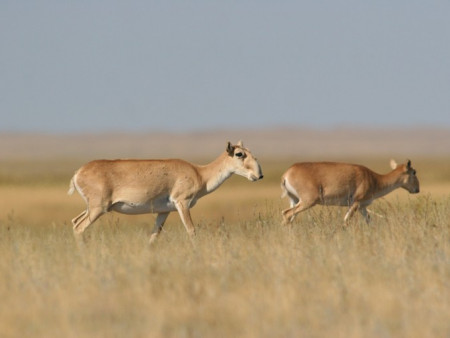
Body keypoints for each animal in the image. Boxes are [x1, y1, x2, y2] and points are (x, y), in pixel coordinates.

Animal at [67, 141, 264, 243]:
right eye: (239, 154)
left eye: (249, 151)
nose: (259, 175)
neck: (200, 173)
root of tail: (77, 173)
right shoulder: (182, 203)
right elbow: (191, 230)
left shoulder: (164, 212)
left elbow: (154, 236)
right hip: (98, 209)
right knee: (79, 227)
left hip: (93, 208)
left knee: (75, 221)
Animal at [280, 160, 420, 226]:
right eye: (414, 172)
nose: (417, 189)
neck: (373, 178)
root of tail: (287, 174)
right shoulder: (355, 203)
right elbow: (346, 221)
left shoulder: (362, 207)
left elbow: (369, 221)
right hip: (307, 201)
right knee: (287, 214)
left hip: (295, 200)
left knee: (289, 216)